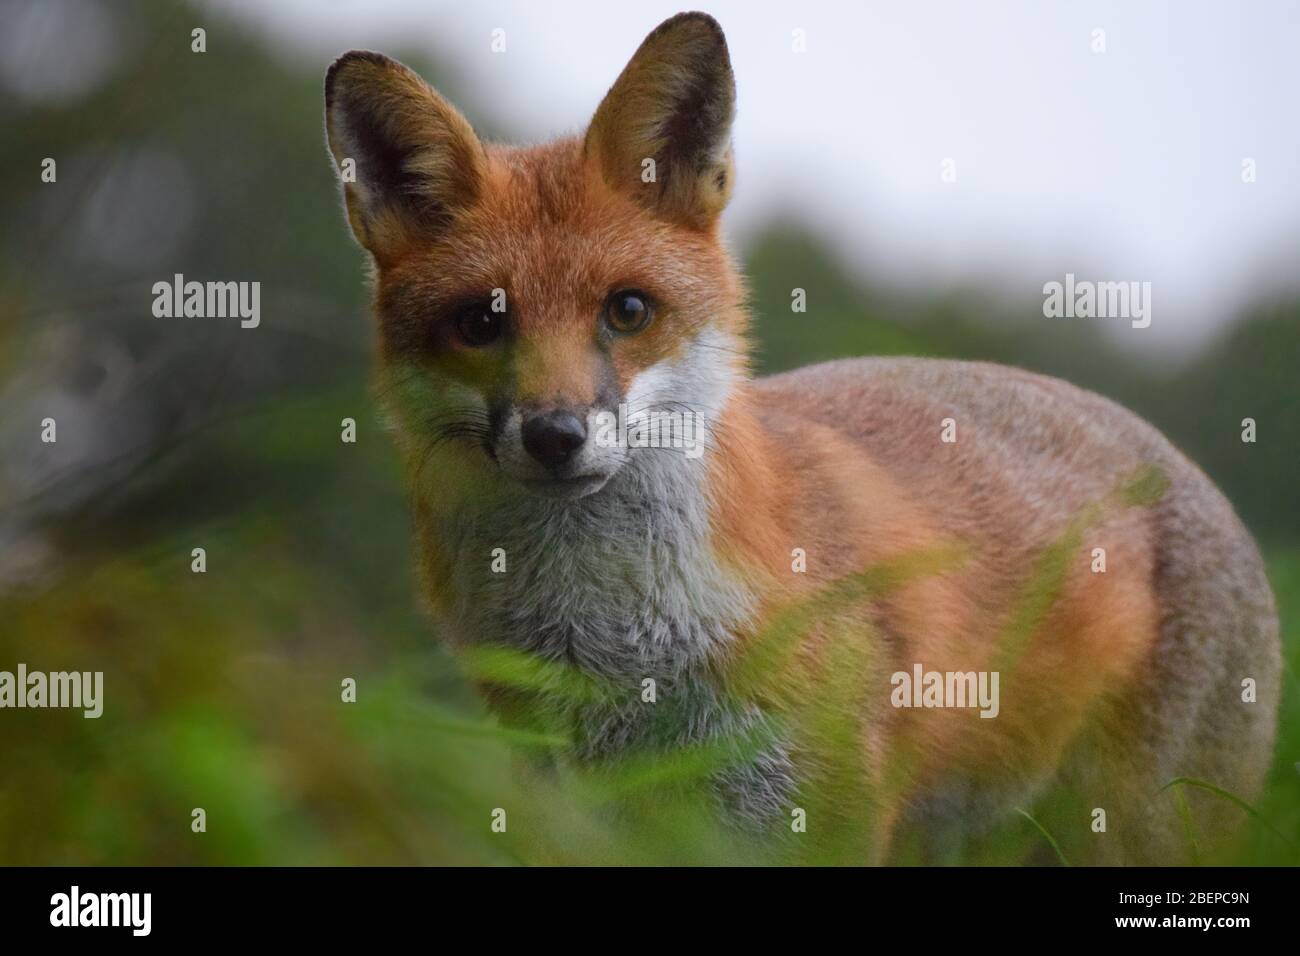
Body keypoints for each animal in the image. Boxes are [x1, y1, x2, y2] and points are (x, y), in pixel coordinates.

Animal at [324, 12, 1280, 864]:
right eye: (481, 323)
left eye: (627, 311)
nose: (556, 434)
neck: (616, 650)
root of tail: (1173, 455)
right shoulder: (582, 813)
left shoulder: (816, 813)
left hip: (1138, 831)